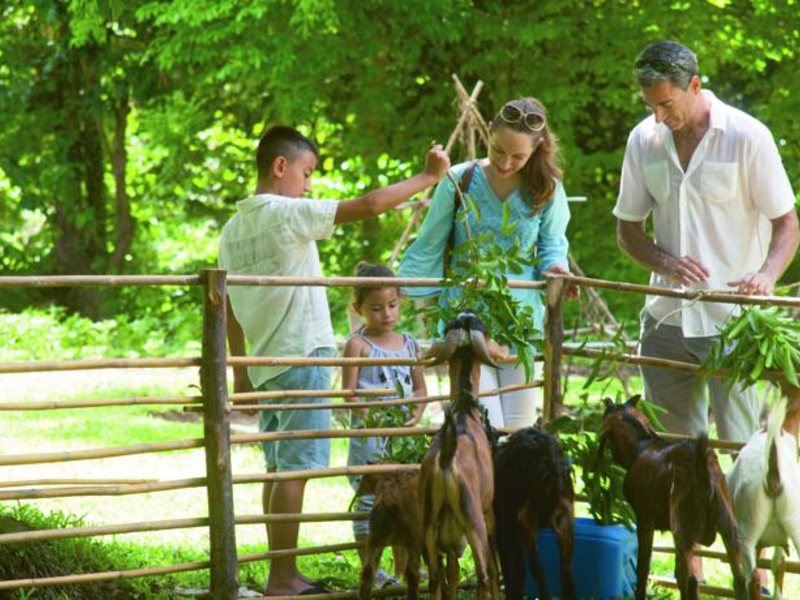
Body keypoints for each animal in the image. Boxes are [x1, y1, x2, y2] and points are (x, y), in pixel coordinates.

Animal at [418, 314, 500, 600]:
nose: (466, 315)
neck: (465, 408)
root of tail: (446, 461)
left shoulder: (451, 543)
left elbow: (452, 576)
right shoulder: (488, 514)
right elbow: (494, 571)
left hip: (429, 528)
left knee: (435, 579)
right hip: (475, 523)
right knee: (484, 576)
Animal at [604, 396, 748, 596]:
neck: (642, 444)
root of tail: (701, 468)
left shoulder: (644, 519)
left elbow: (643, 569)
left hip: (682, 528)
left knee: (689, 579)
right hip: (727, 526)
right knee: (739, 580)